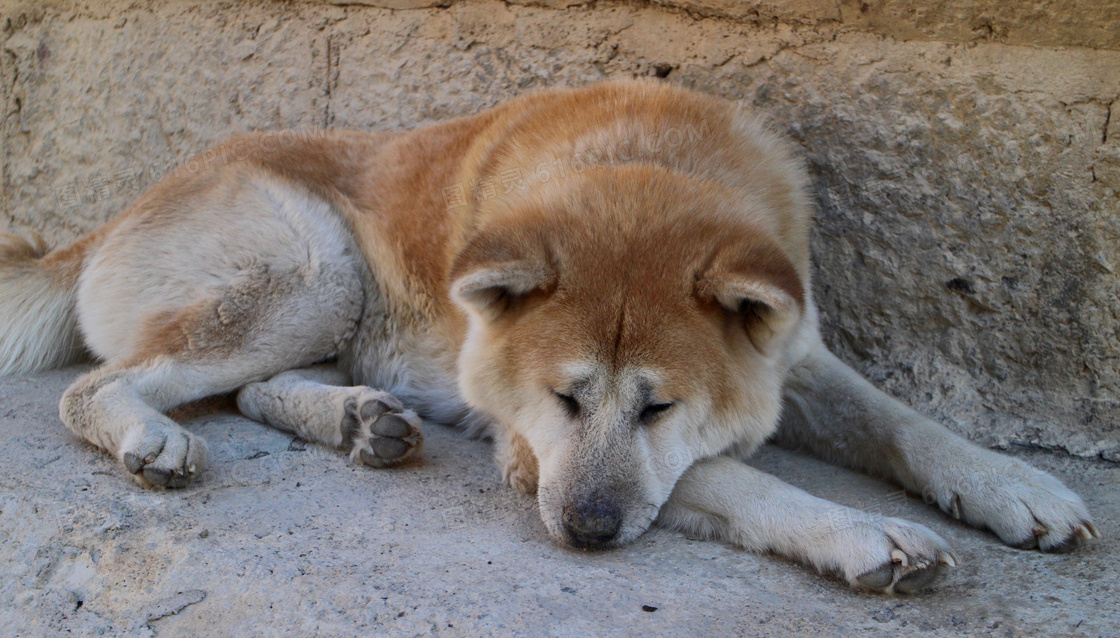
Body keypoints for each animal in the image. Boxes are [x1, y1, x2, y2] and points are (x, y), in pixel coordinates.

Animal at [0, 79, 1097, 590]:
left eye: (659, 405)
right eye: (564, 398)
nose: (583, 533)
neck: (641, 163)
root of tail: (109, 217)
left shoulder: (796, 357)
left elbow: (903, 424)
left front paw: (1014, 486)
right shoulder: (530, 451)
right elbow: (734, 479)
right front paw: (861, 530)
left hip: (324, 297)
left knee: (252, 387)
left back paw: (357, 419)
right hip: (313, 268)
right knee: (98, 385)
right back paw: (150, 435)